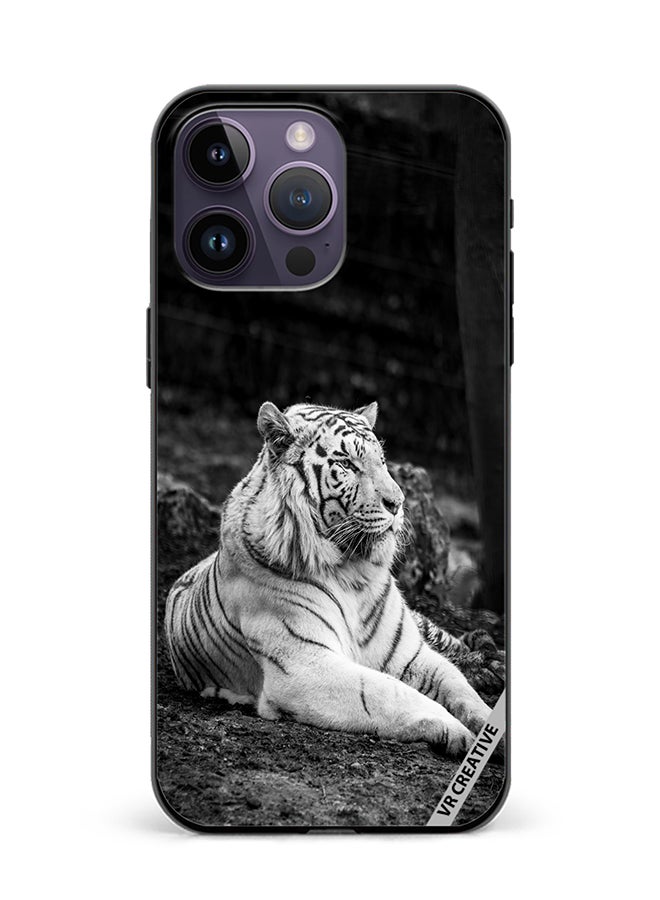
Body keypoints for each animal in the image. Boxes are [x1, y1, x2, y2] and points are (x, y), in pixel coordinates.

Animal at [165, 400, 493, 758]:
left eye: (382, 462)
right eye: (347, 464)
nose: (398, 503)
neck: (354, 574)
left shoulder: (409, 654)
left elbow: (458, 685)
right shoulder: (304, 665)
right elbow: (389, 691)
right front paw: (458, 732)